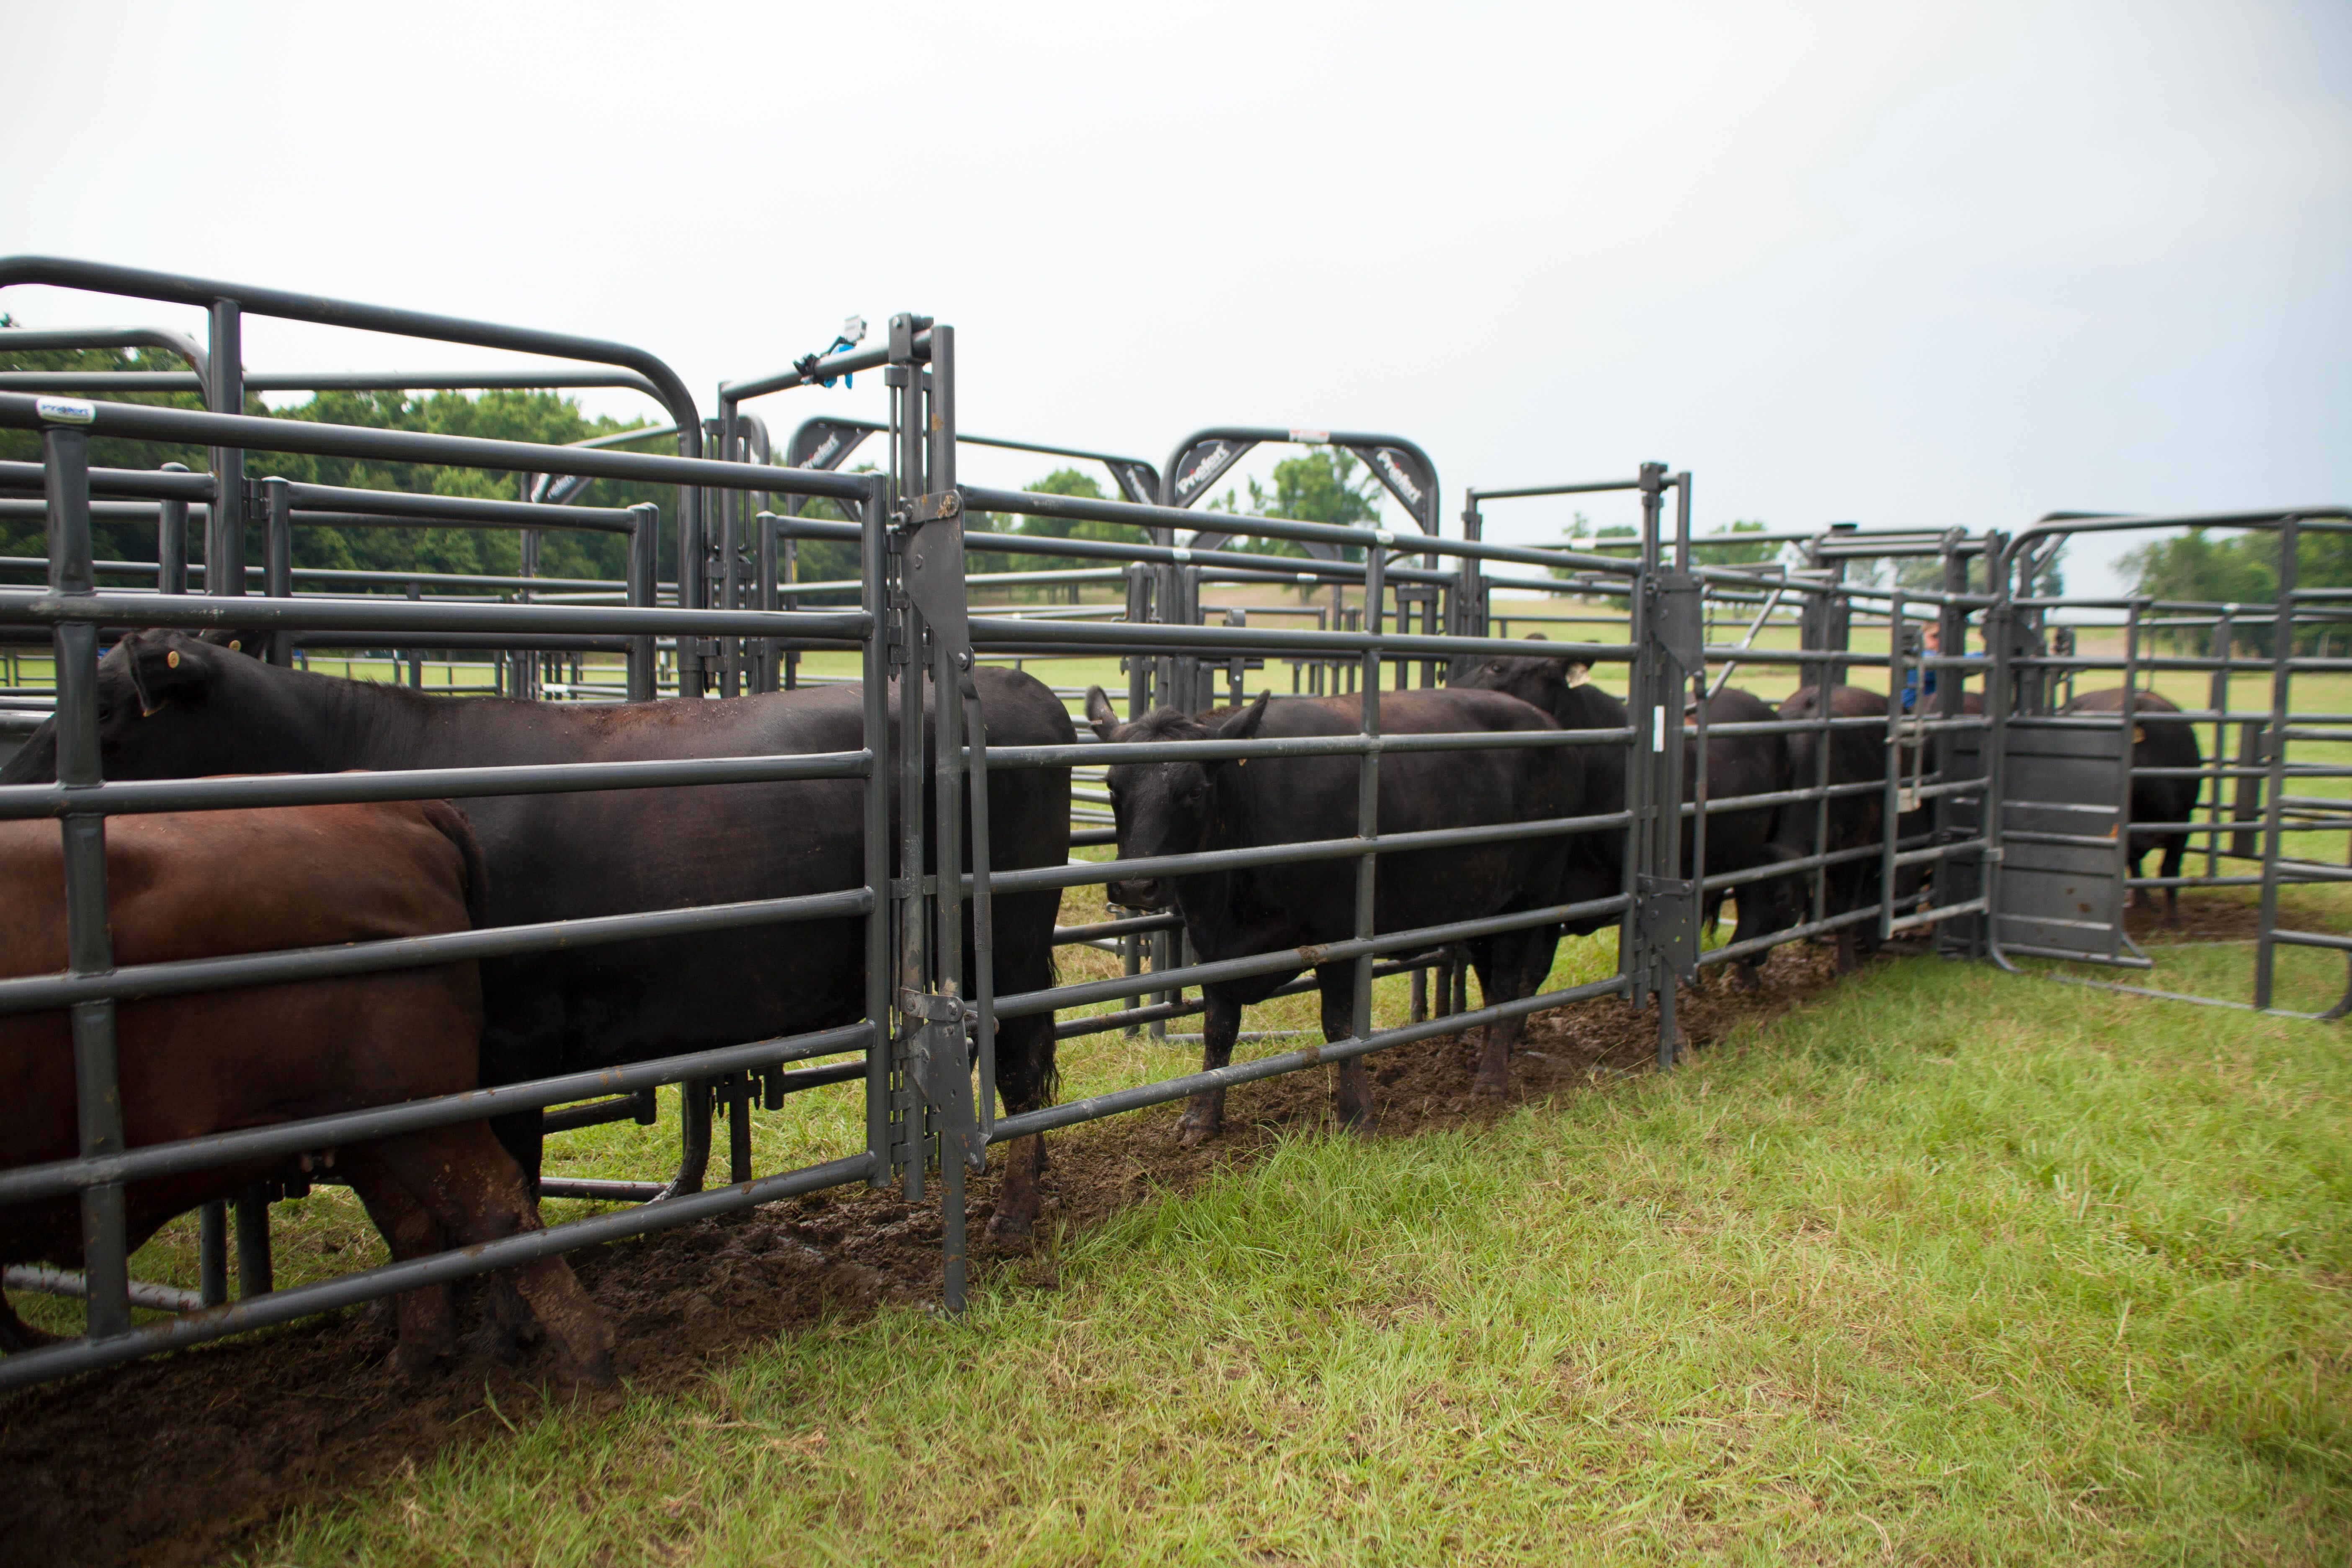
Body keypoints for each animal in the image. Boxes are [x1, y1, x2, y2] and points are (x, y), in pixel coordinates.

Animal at [0, 630, 1077, 1241]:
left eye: (104, 708)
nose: (15, 781)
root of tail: (1021, 685)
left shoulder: (507, 1039)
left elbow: (508, 1173)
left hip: (1013, 945)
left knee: (1024, 1072)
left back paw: (1019, 1217)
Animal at [0, 804, 616, 1382]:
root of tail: (403, 810)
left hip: (424, 1112)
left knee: (492, 1204)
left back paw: (578, 1357)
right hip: (368, 1127)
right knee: (416, 1220)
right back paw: (417, 1352)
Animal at [1086, 681, 1580, 1142]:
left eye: (1194, 791)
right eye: (1112, 787)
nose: (1137, 885)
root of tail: (1543, 720)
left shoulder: (1339, 935)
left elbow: (1340, 1027)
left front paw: (1356, 1115)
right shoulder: (1215, 947)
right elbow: (1218, 1030)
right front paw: (1201, 1116)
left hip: (1528, 897)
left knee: (1508, 987)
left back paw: (1491, 1080)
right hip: (1483, 907)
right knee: (1491, 983)